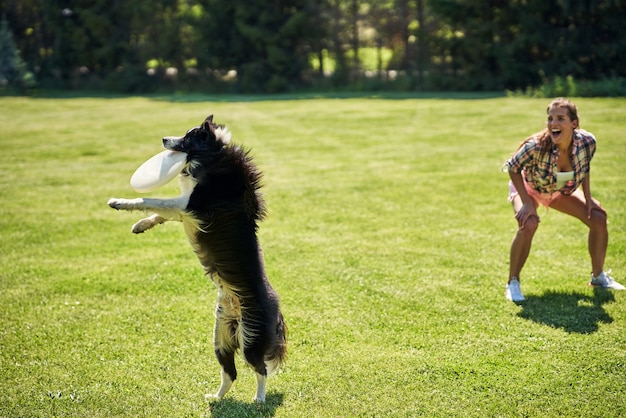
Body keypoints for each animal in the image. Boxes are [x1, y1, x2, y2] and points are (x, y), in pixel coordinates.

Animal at [106, 114, 286, 402]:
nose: (163, 139)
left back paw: (259, 399)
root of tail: (278, 308)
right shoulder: (185, 212)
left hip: (251, 337)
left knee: (260, 369)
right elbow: (160, 213)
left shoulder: (189, 205)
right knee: (230, 373)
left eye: (188, 137)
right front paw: (141, 225)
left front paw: (120, 202)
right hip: (221, 337)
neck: (214, 156)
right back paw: (216, 398)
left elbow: (151, 199)